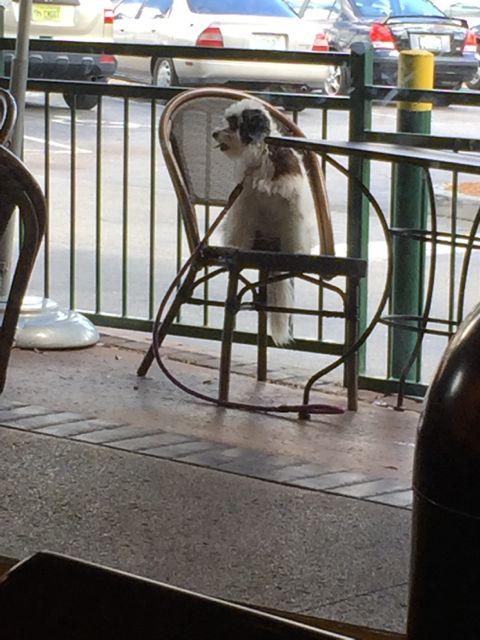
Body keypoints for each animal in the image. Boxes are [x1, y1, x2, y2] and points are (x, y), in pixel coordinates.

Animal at [212, 99, 316, 344]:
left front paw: (295, 252)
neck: (262, 154)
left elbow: (292, 229)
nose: (214, 133)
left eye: (233, 123)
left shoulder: (292, 206)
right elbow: (241, 227)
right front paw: (236, 247)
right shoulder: (244, 203)